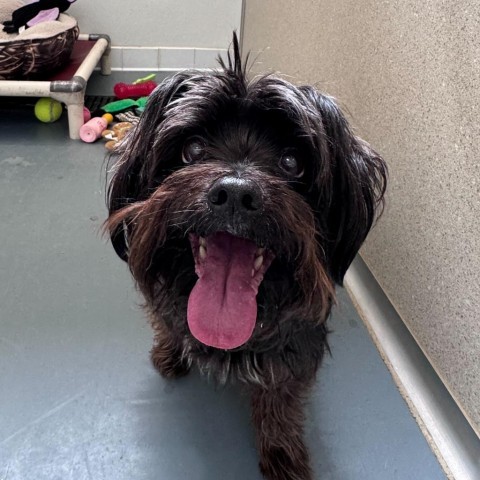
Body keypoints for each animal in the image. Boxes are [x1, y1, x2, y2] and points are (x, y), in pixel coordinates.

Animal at [104, 34, 386, 480]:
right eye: (192, 148)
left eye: (291, 161)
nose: (235, 192)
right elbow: (167, 322)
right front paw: (170, 351)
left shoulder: (296, 346)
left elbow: (280, 399)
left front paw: (281, 451)